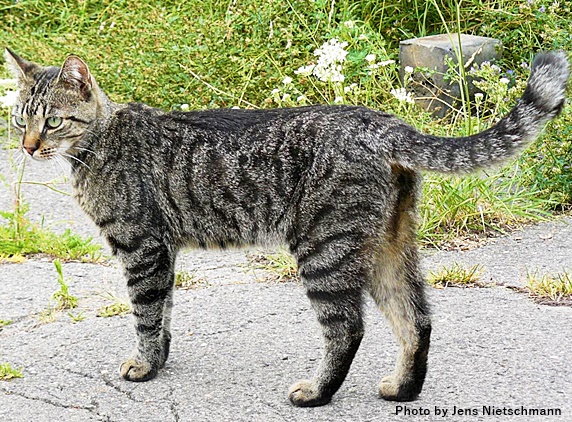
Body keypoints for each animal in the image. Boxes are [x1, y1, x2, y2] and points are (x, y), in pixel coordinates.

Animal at [3, 47, 568, 408]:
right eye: (18, 120)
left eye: (52, 121)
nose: (28, 147)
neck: (96, 143)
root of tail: (381, 121)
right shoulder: (163, 251)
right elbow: (163, 313)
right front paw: (159, 358)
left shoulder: (142, 247)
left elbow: (144, 315)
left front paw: (144, 366)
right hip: (389, 248)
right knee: (417, 320)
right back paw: (402, 389)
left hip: (324, 250)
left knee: (348, 328)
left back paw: (317, 393)